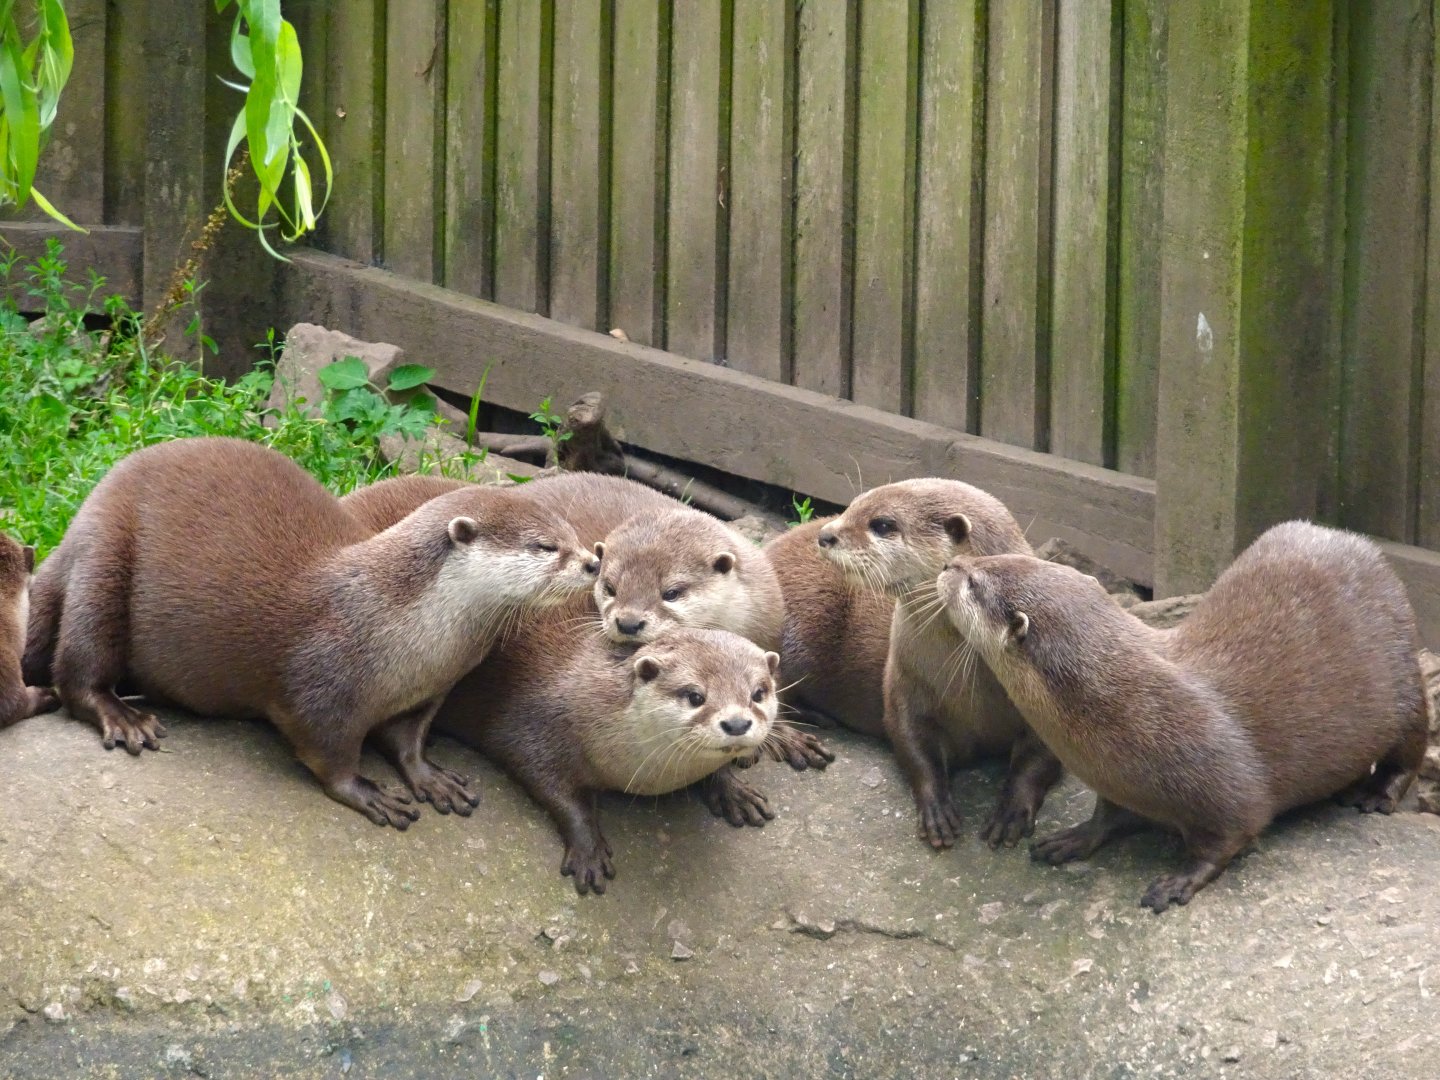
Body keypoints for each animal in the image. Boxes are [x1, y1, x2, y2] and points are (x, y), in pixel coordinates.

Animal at [22, 437, 596, 827]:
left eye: (576, 535)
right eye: (545, 546)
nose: (594, 563)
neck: (409, 634)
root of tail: (82, 516)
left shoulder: (429, 692)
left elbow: (407, 738)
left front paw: (431, 777)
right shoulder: (320, 684)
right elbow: (325, 748)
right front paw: (367, 791)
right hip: (106, 557)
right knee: (75, 671)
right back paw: (123, 717)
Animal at [442, 624, 782, 893]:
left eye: (758, 693)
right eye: (695, 696)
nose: (737, 724)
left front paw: (735, 792)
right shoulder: (534, 730)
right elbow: (555, 790)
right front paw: (588, 852)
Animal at [816, 479, 1061, 848]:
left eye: (883, 524)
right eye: (853, 504)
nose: (825, 534)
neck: (970, 684)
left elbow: (1040, 754)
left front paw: (1012, 810)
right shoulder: (904, 680)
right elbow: (913, 742)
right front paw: (937, 809)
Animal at [939, 520, 1430, 912]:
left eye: (975, 580)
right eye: (994, 557)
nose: (949, 566)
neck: (1128, 710)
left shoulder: (1227, 784)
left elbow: (1232, 834)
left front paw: (1179, 881)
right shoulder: (1116, 780)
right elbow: (1109, 815)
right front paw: (1074, 838)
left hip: (1405, 682)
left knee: (1411, 749)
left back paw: (1376, 794)